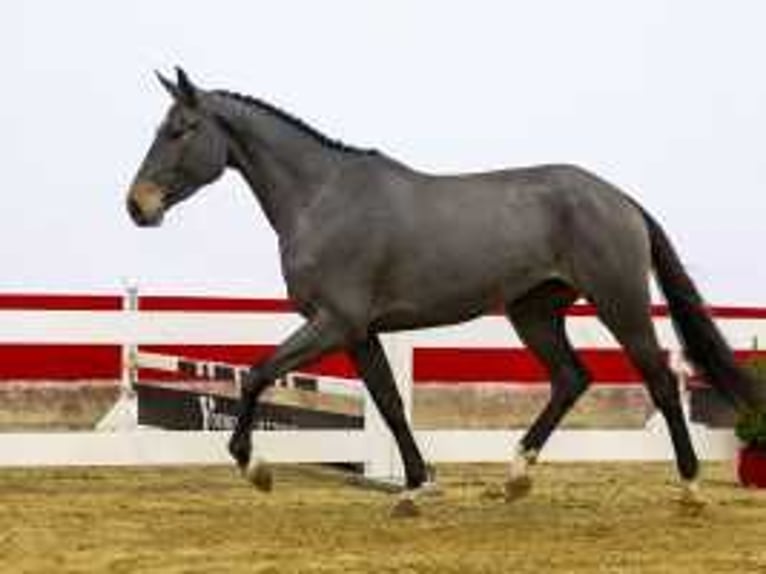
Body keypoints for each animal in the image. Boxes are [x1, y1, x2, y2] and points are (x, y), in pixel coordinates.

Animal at [127, 67, 766, 516]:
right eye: (159, 129)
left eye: (181, 130)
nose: (137, 206)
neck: (323, 198)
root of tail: (618, 198)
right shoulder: (359, 333)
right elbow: (388, 402)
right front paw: (414, 489)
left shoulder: (334, 322)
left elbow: (259, 374)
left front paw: (254, 467)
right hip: (533, 311)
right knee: (570, 378)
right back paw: (516, 478)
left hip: (619, 302)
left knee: (657, 377)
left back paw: (689, 490)